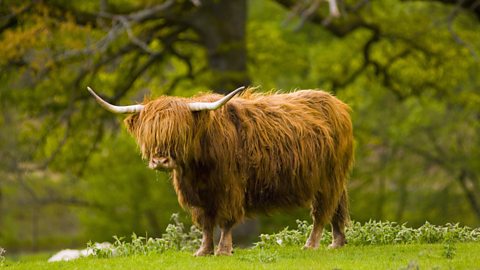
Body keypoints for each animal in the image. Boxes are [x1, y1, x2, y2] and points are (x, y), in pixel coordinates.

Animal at [88, 86, 354, 255]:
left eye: (179, 132)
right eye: (149, 133)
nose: (161, 161)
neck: (197, 169)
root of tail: (337, 104)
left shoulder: (229, 188)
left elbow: (225, 220)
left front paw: (224, 250)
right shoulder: (196, 196)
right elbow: (206, 223)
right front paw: (203, 251)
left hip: (327, 179)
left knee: (321, 212)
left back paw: (311, 244)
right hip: (336, 179)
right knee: (338, 208)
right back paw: (337, 243)